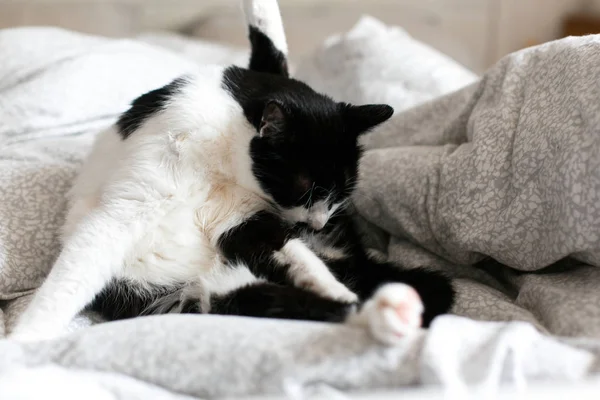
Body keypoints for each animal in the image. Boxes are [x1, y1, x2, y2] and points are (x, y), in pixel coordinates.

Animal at [9, 0, 452, 344]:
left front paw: (331, 285)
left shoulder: (242, 218)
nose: (319, 224)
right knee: (268, 303)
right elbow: (73, 275)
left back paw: (388, 310)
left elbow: (293, 254)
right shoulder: (129, 209)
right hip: (199, 291)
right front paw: (25, 339)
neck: (219, 165)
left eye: (341, 193)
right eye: (304, 188)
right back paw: (388, 312)